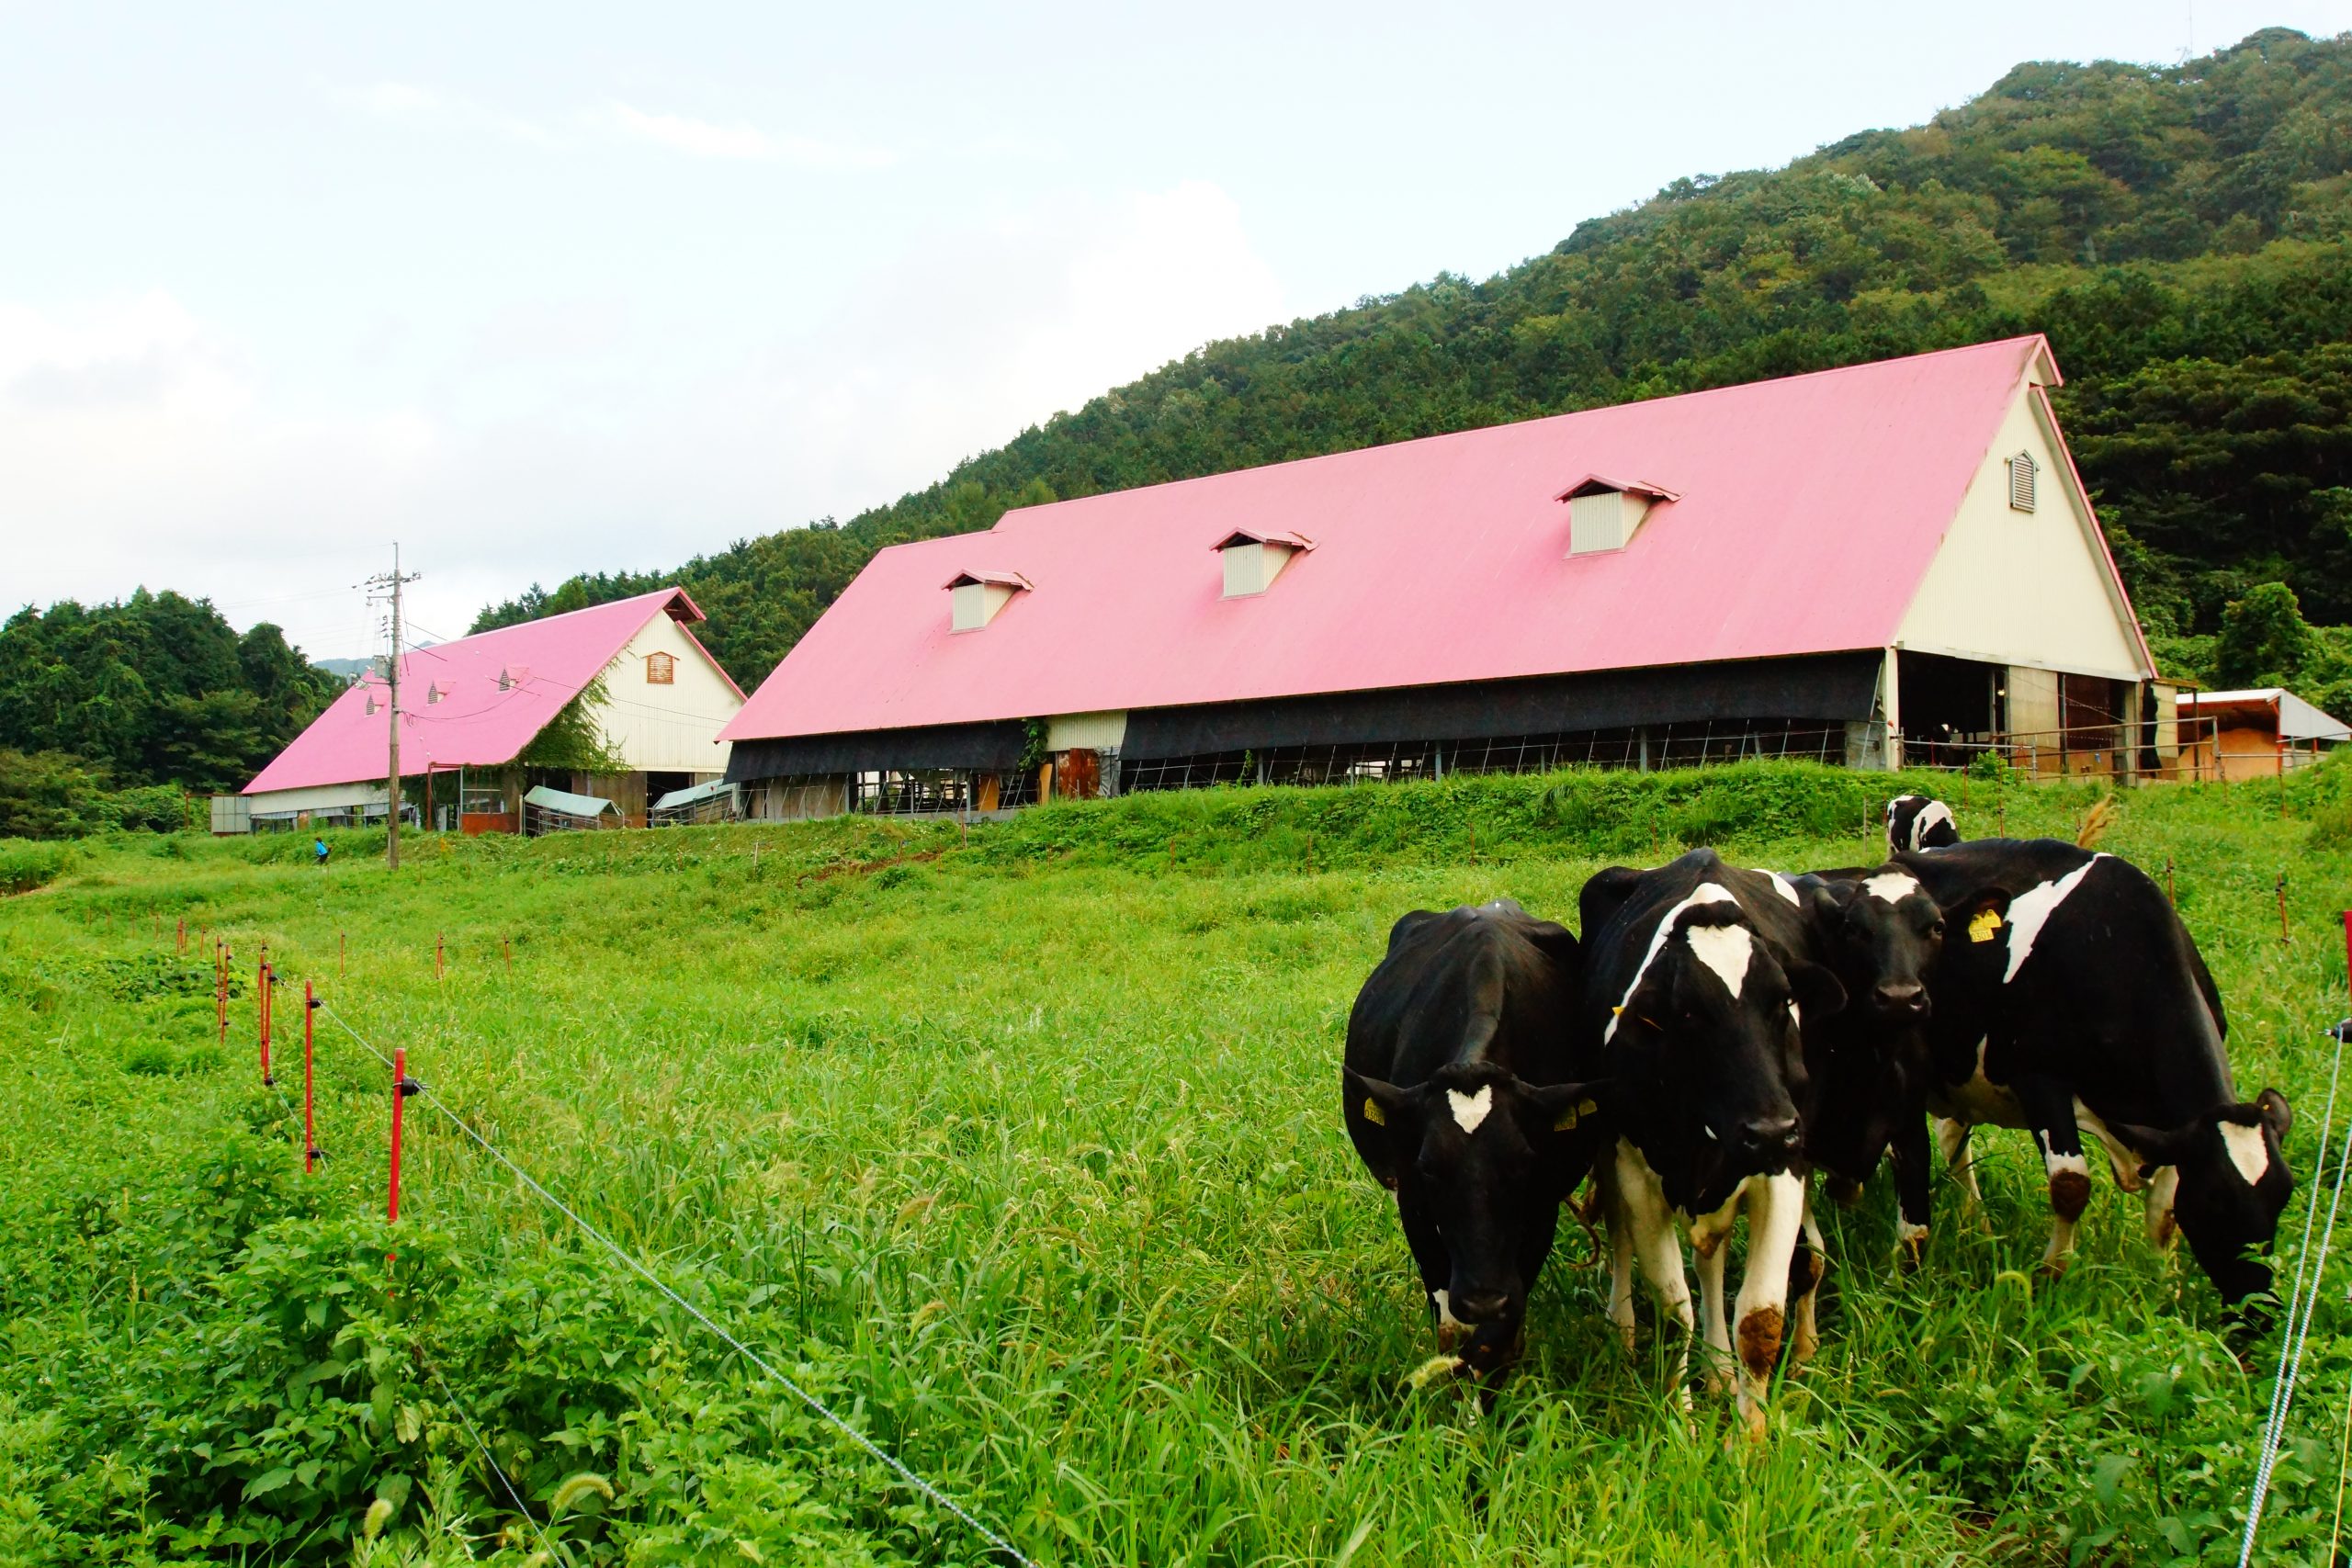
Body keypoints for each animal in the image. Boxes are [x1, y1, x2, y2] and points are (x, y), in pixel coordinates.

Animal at [1345, 902, 1599, 1382]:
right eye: (1428, 1167)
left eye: (1523, 1163)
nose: (1483, 1299)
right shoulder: (1413, 1201)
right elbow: (1450, 1325)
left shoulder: (1542, 1204)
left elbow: (1493, 1339)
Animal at [1571, 851, 1844, 1438]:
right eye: (1690, 1014)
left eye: (1783, 1001)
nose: (1769, 1129)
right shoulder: (1636, 1169)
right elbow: (1676, 1310)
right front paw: (1683, 1423)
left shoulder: (1785, 1167)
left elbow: (1760, 1320)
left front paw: (1750, 1439)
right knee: (1624, 1239)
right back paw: (1625, 1330)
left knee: (1712, 1261)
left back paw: (1720, 1369)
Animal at [1891, 831, 2295, 1316]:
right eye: (2214, 1201)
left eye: (2286, 1195)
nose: (2260, 1311)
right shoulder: (2039, 1080)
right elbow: (2071, 1186)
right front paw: (2049, 1276)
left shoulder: (2170, 1127)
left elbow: (2164, 1212)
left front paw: (2163, 1290)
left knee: (1954, 1138)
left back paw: (1977, 1221)